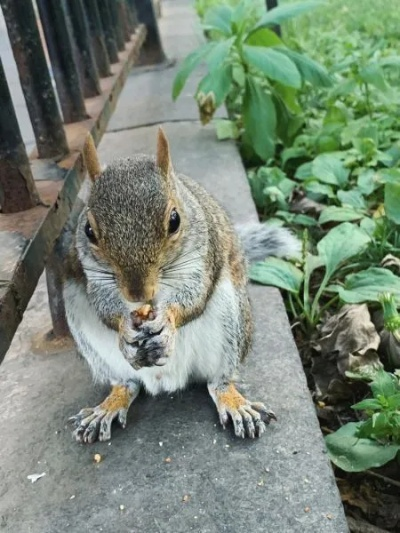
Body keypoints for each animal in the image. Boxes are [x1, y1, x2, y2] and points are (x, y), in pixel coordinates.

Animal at [64, 129, 298, 440]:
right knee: (126, 383)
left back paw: (233, 401)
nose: (137, 293)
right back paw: (110, 404)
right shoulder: (92, 274)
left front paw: (167, 321)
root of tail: (166, 380)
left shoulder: (202, 257)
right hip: (83, 321)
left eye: (174, 220)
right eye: (89, 230)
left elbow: (195, 297)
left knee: (218, 381)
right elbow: (103, 305)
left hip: (231, 320)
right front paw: (125, 329)